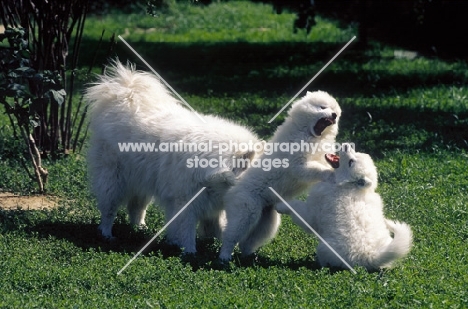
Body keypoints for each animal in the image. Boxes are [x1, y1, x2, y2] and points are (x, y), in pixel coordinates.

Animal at [86, 60, 262, 253]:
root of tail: (125, 93)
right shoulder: (185, 204)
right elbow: (187, 231)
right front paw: (190, 252)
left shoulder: (211, 205)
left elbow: (217, 228)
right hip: (114, 181)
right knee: (109, 209)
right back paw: (107, 234)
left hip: (142, 183)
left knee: (136, 208)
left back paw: (141, 228)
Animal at [218, 91, 342, 260]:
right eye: (323, 107)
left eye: (335, 110)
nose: (334, 115)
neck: (309, 134)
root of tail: (235, 183)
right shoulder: (299, 165)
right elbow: (317, 170)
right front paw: (331, 174)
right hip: (246, 211)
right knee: (231, 236)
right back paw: (224, 256)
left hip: (267, 221)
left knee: (248, 241)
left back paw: (250, 257)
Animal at [278, 144, 414, 270]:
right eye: (355, 153)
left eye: (351, 162)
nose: (346, 145)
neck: (347, 185)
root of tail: (371, 256)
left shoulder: (312, 215)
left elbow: (296, 205)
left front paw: (280, 205)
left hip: (324, 248)